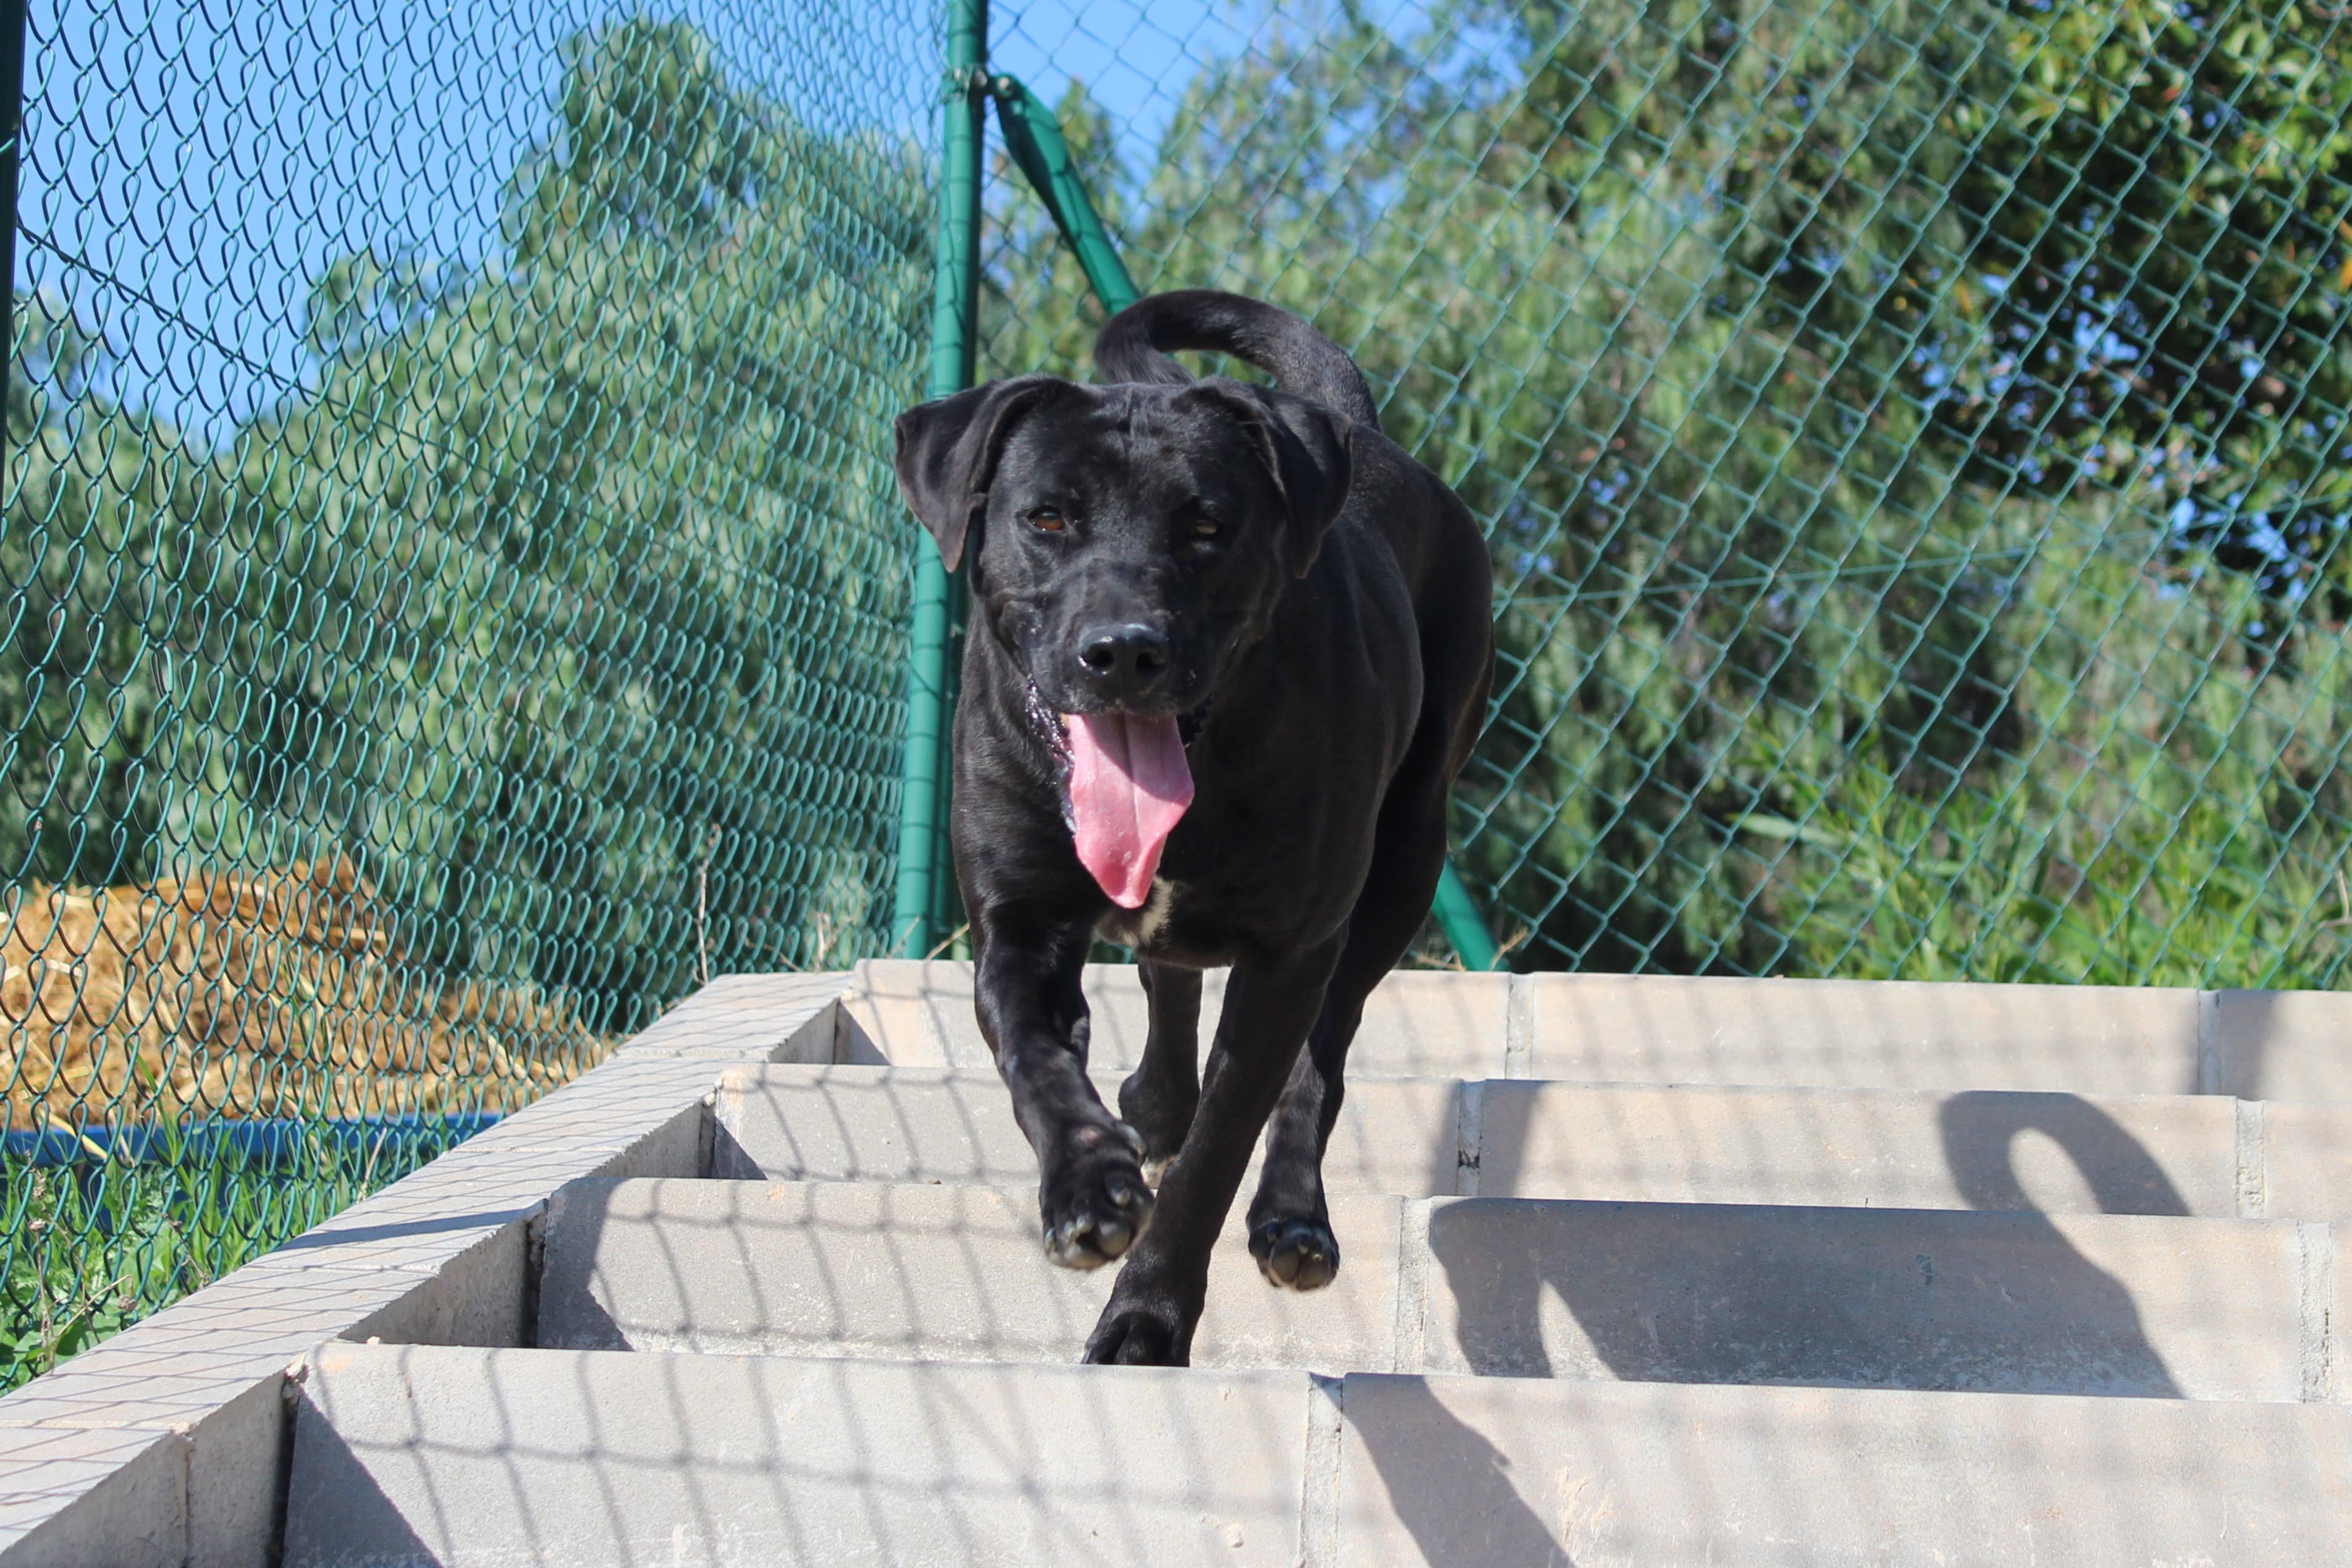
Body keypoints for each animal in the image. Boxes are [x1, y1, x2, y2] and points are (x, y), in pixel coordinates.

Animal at [893, 288, 1486, 1363]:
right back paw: (1149, 1110)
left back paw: (1291, 1213)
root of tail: (1364, 434)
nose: (1122, 650)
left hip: (1402, 864)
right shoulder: (1015, 922)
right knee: (1166, 984)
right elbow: (1034, 1057)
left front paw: (1144, 1322)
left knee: (1321, 1055)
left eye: (1207, 524)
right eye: (1045, 515)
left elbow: (1223, 1143)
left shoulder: (1290, 951)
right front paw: (1088, 1187)